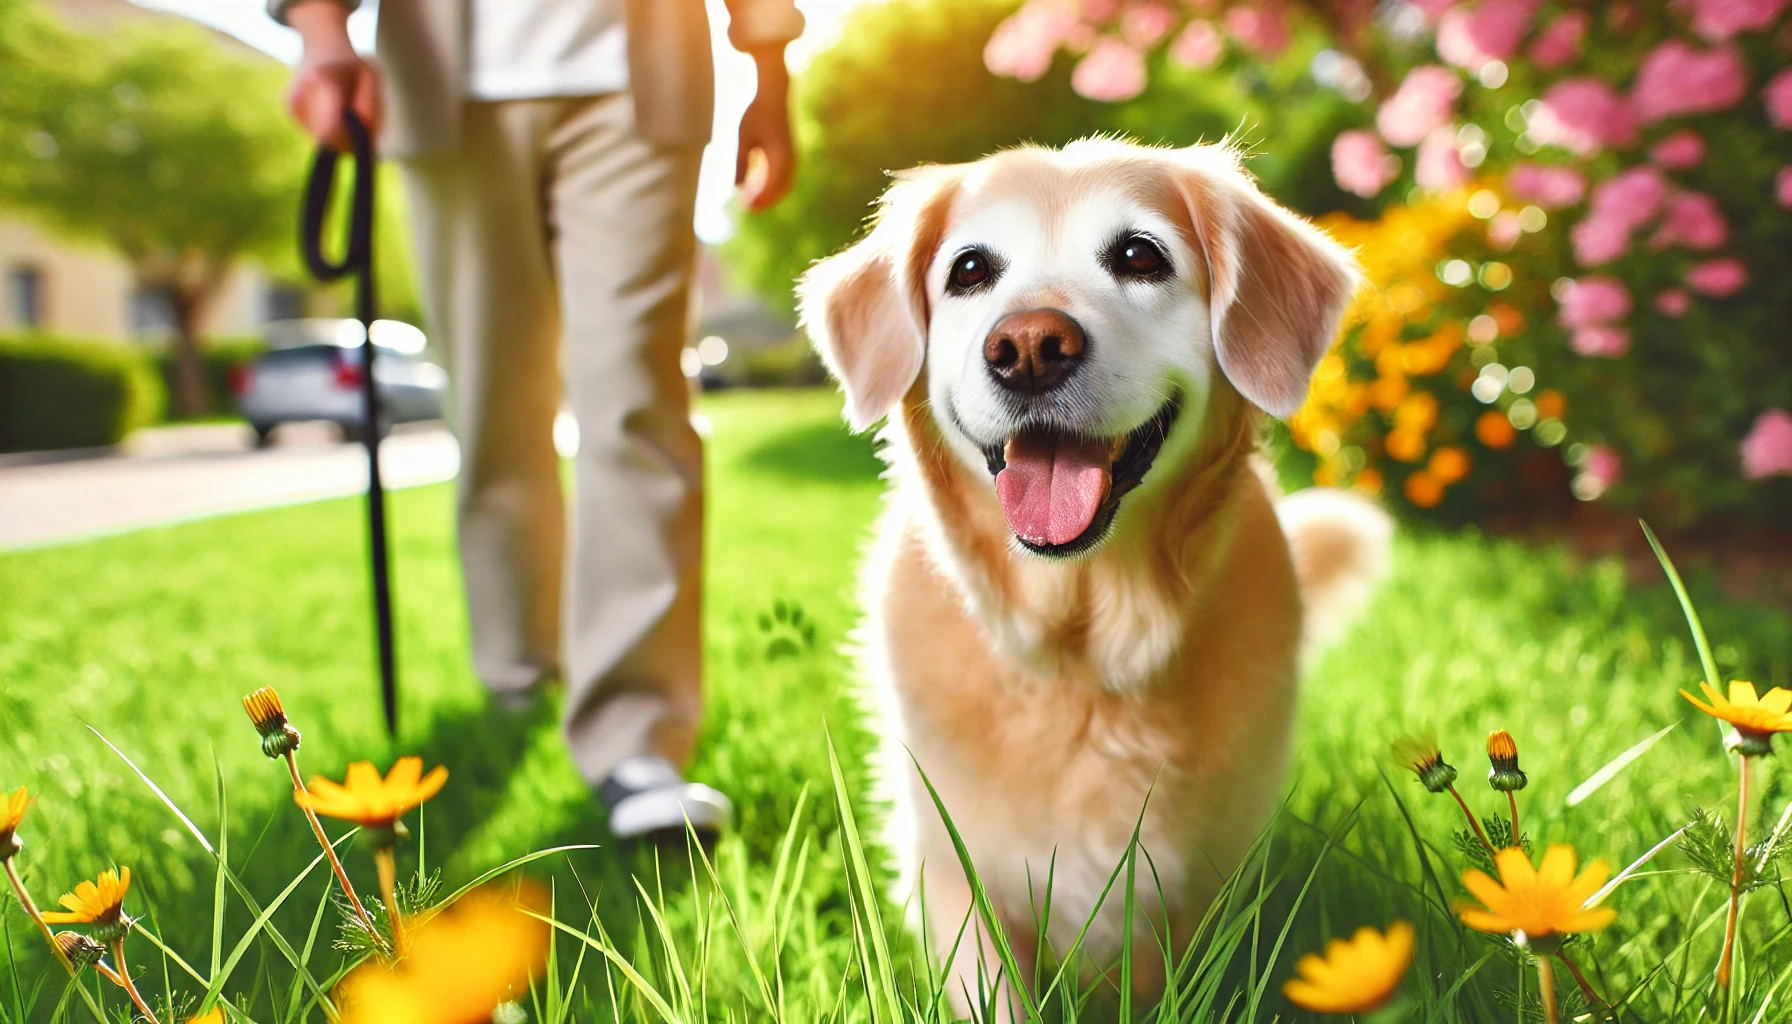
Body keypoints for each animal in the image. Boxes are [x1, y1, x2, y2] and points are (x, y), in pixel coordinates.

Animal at [802, 138, 1397, 1018]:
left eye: (1139, 256)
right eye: (970, 269)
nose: (1028, 348)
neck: (1085, 647)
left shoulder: (1205, 887)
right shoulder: (954, 870)